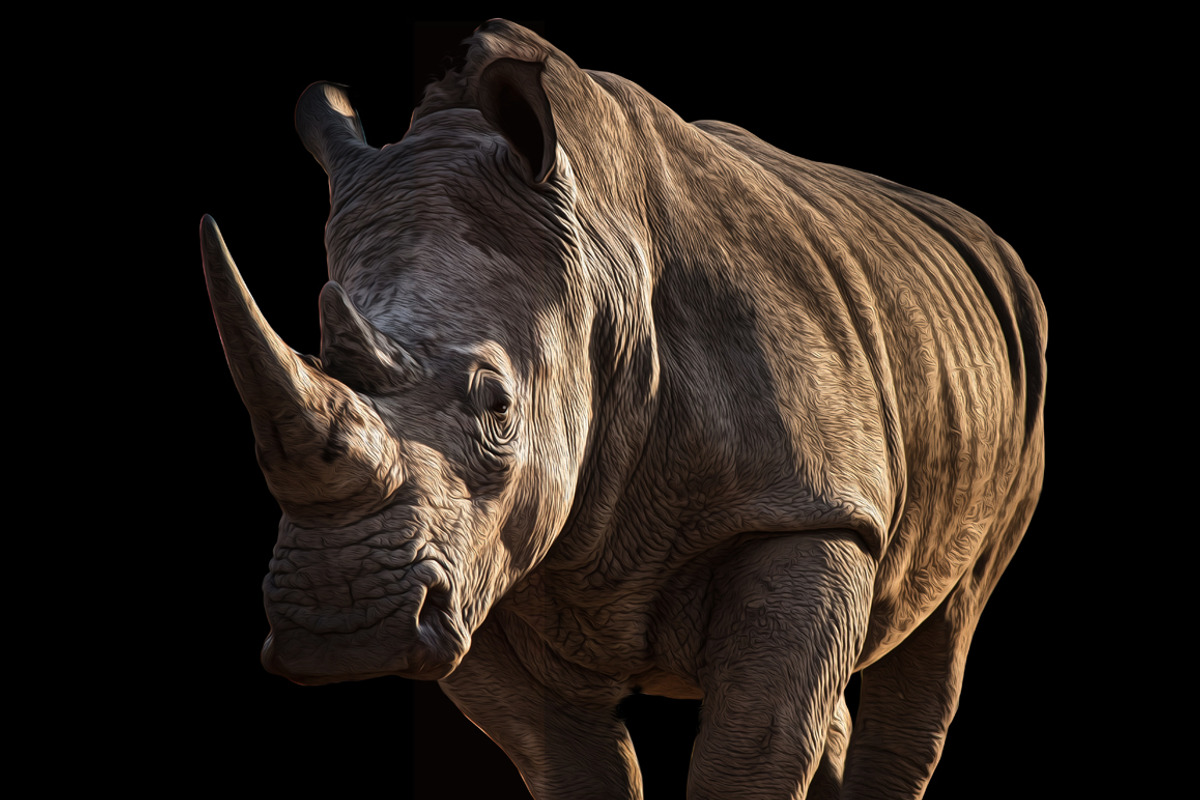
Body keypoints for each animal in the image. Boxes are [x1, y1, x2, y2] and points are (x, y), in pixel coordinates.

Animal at [202, 19, 1046, 799]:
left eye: (497, 405)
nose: (339, 626)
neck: (599, 265)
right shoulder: (477, 570)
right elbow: (573, 763)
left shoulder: (804, 509)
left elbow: (753, 752)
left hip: (1017, 372)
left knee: (945, 628)